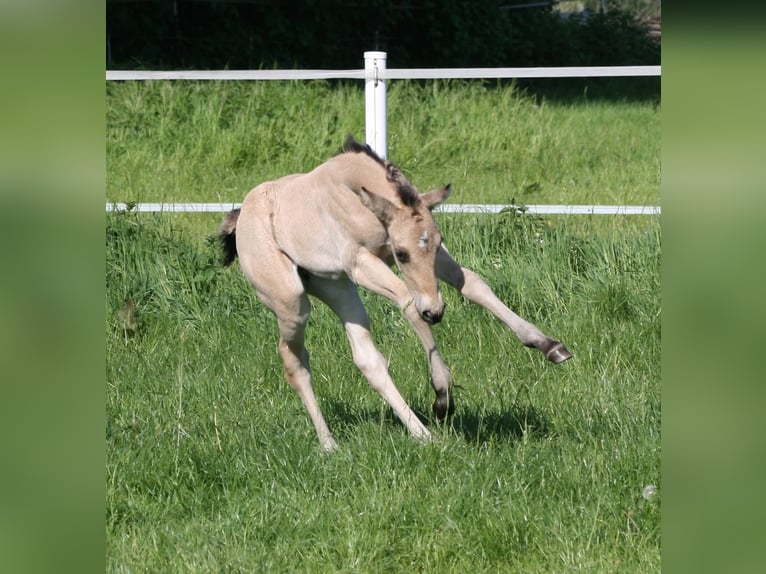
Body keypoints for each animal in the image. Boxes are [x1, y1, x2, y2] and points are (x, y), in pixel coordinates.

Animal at [220, 136, 571, 451]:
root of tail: (241, 214)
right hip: (292, 300)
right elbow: (409, 303)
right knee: (294, 359)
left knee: (368, 361)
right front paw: (442, 396)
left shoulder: (425, 261)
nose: (436, 312)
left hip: (338, 288)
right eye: (401, 254)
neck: (354, 197)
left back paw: (417, 433)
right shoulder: (362, 264)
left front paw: (549, 345)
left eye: (437, 241)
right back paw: (334, 443)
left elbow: (471, 283)